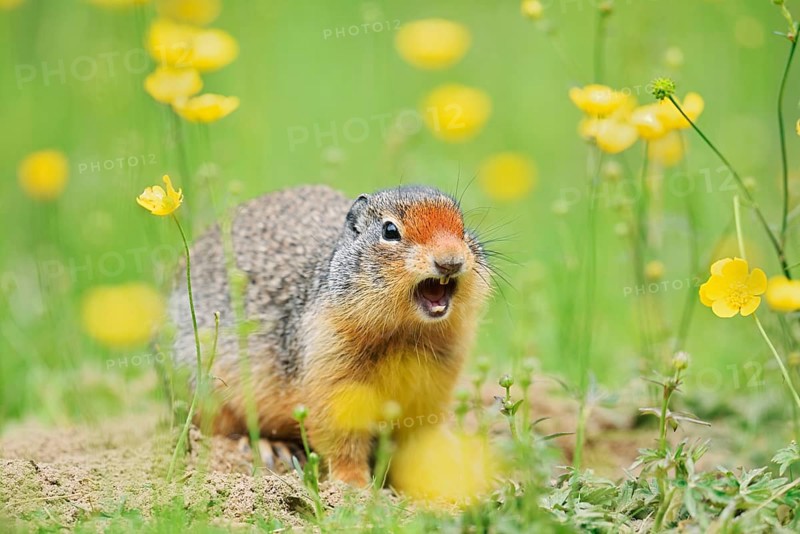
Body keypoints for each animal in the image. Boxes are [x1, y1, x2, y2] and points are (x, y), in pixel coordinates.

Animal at [169, 185, 492, 486]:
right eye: (390, 231)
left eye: (462, 227)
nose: (450, 261)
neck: (406, 333)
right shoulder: (332, 363)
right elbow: (342, 434)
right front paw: (353, 486)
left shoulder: (436, 379)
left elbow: (420, 434)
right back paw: (269, 447)